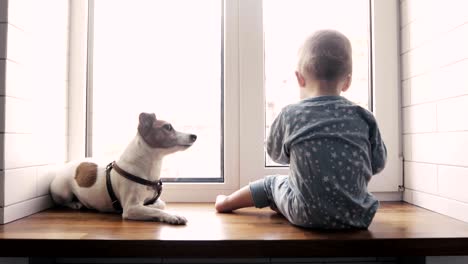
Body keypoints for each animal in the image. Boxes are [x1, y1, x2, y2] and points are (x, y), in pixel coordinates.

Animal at [50, 112, 197, 226]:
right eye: (168, 127)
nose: (194, 135)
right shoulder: (130, 209)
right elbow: (158, 210)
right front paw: (173, 216)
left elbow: (160, 204)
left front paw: (151, 205)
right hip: (62, 191)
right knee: (61, 202)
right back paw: (75, 204)